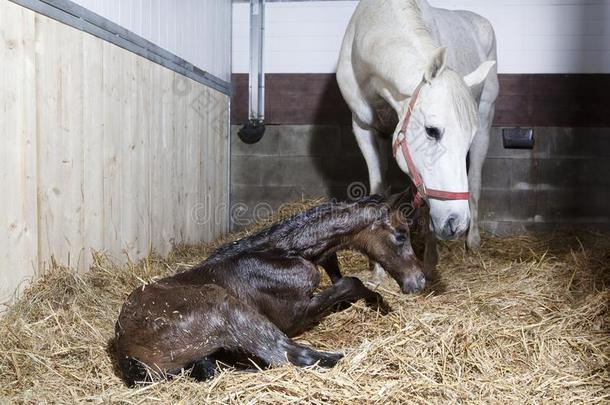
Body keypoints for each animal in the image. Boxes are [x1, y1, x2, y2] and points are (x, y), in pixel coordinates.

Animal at [334, 0, 496, 274]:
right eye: (432, 130)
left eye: (467, 138)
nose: (456, 223)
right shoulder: (364, 127)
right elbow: (379, 188)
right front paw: (379, 268)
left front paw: (430, 262)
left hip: (486, 119)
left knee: (474, 181)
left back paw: (473, 241)